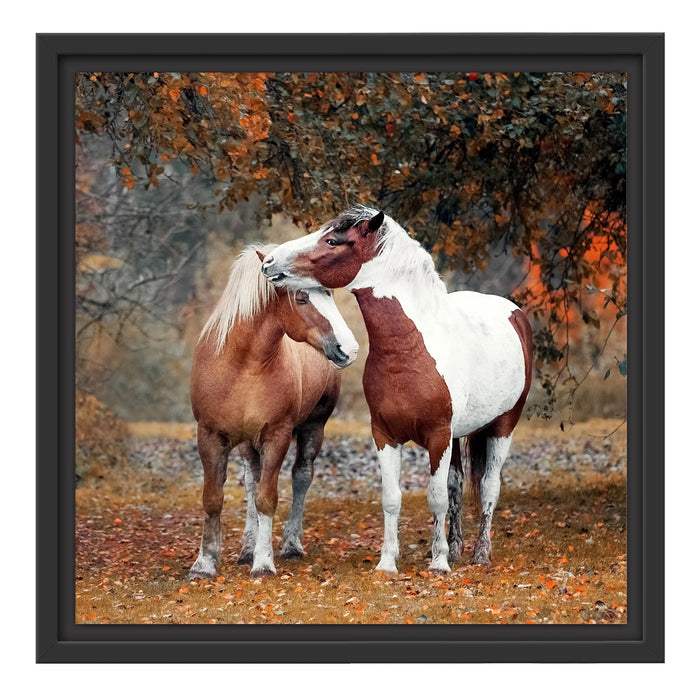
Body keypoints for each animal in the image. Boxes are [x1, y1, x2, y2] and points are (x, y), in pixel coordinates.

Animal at [189, 244, 359, 579]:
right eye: (302, 297)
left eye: (329, 294)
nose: (349, 349)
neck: (242, 366)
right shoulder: (211, 436)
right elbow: (214, 498)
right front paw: (204, 563)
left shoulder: (276, 436)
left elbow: (267, 499)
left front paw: (264, 563)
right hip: (247, 443)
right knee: (251, 482)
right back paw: (247, 548)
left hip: (313, 428)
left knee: (301, 477)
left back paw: (291, 545)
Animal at [261, 206, 533, 575]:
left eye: (332, 240)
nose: (269, 261)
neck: (409, 349)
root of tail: (513, 313)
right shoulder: (385, 435)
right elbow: (393, 499)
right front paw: (388, 563)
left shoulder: (438, 436)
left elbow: (436, 497)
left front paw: (438, 564)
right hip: (460, 435)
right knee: (458, 484)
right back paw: (456, 549)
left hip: (503, 427)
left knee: (490, 487)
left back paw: (480, 555)